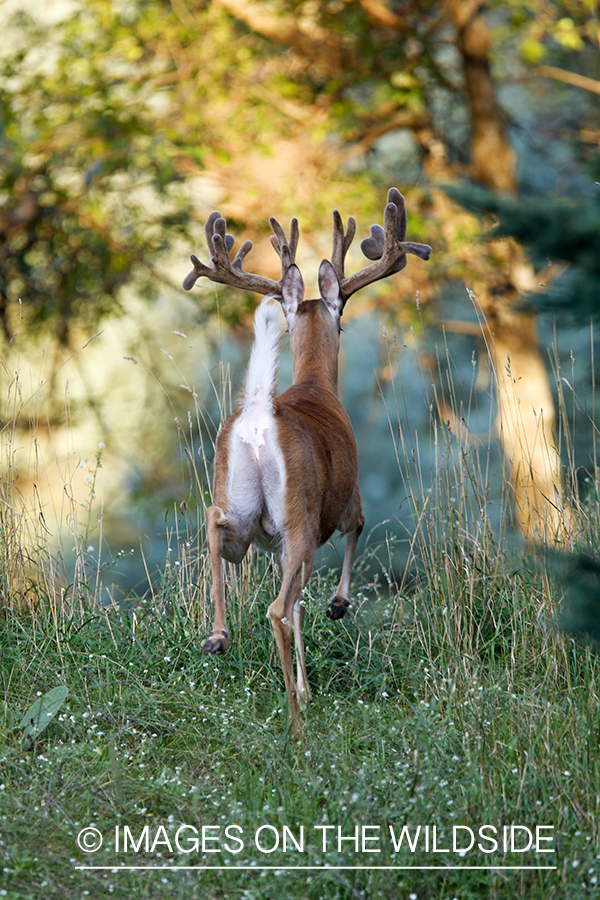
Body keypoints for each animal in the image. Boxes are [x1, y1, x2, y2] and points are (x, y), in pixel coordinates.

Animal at [184, 188, 432, 732]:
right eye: (341, 315)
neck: (317, 387)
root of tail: (260, 409)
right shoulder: (344, 501)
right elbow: (356, 531)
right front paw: (336, 609)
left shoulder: (276, 542)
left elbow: (299, 599)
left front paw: (305, 683)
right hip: (298, 515)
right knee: (278, 608)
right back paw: (296, 723)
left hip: (244, 515)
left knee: (214, 523)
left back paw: (217, 636)